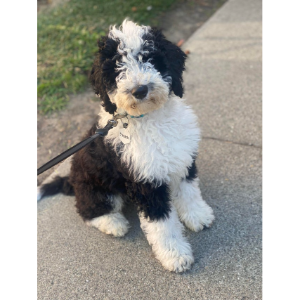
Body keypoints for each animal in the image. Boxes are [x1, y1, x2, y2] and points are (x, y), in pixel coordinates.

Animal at [37, 19, 214, 274]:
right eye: (117, 67)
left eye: (148, 57)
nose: (139, 90)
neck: (150, 118)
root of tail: (71, 180)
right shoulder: (146, 184)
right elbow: (162, 225)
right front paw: (175, 255)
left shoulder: (182, 160)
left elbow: (189, 192)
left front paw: (197, 216)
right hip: (100, 189)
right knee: (87, 210)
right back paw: (114, 223)